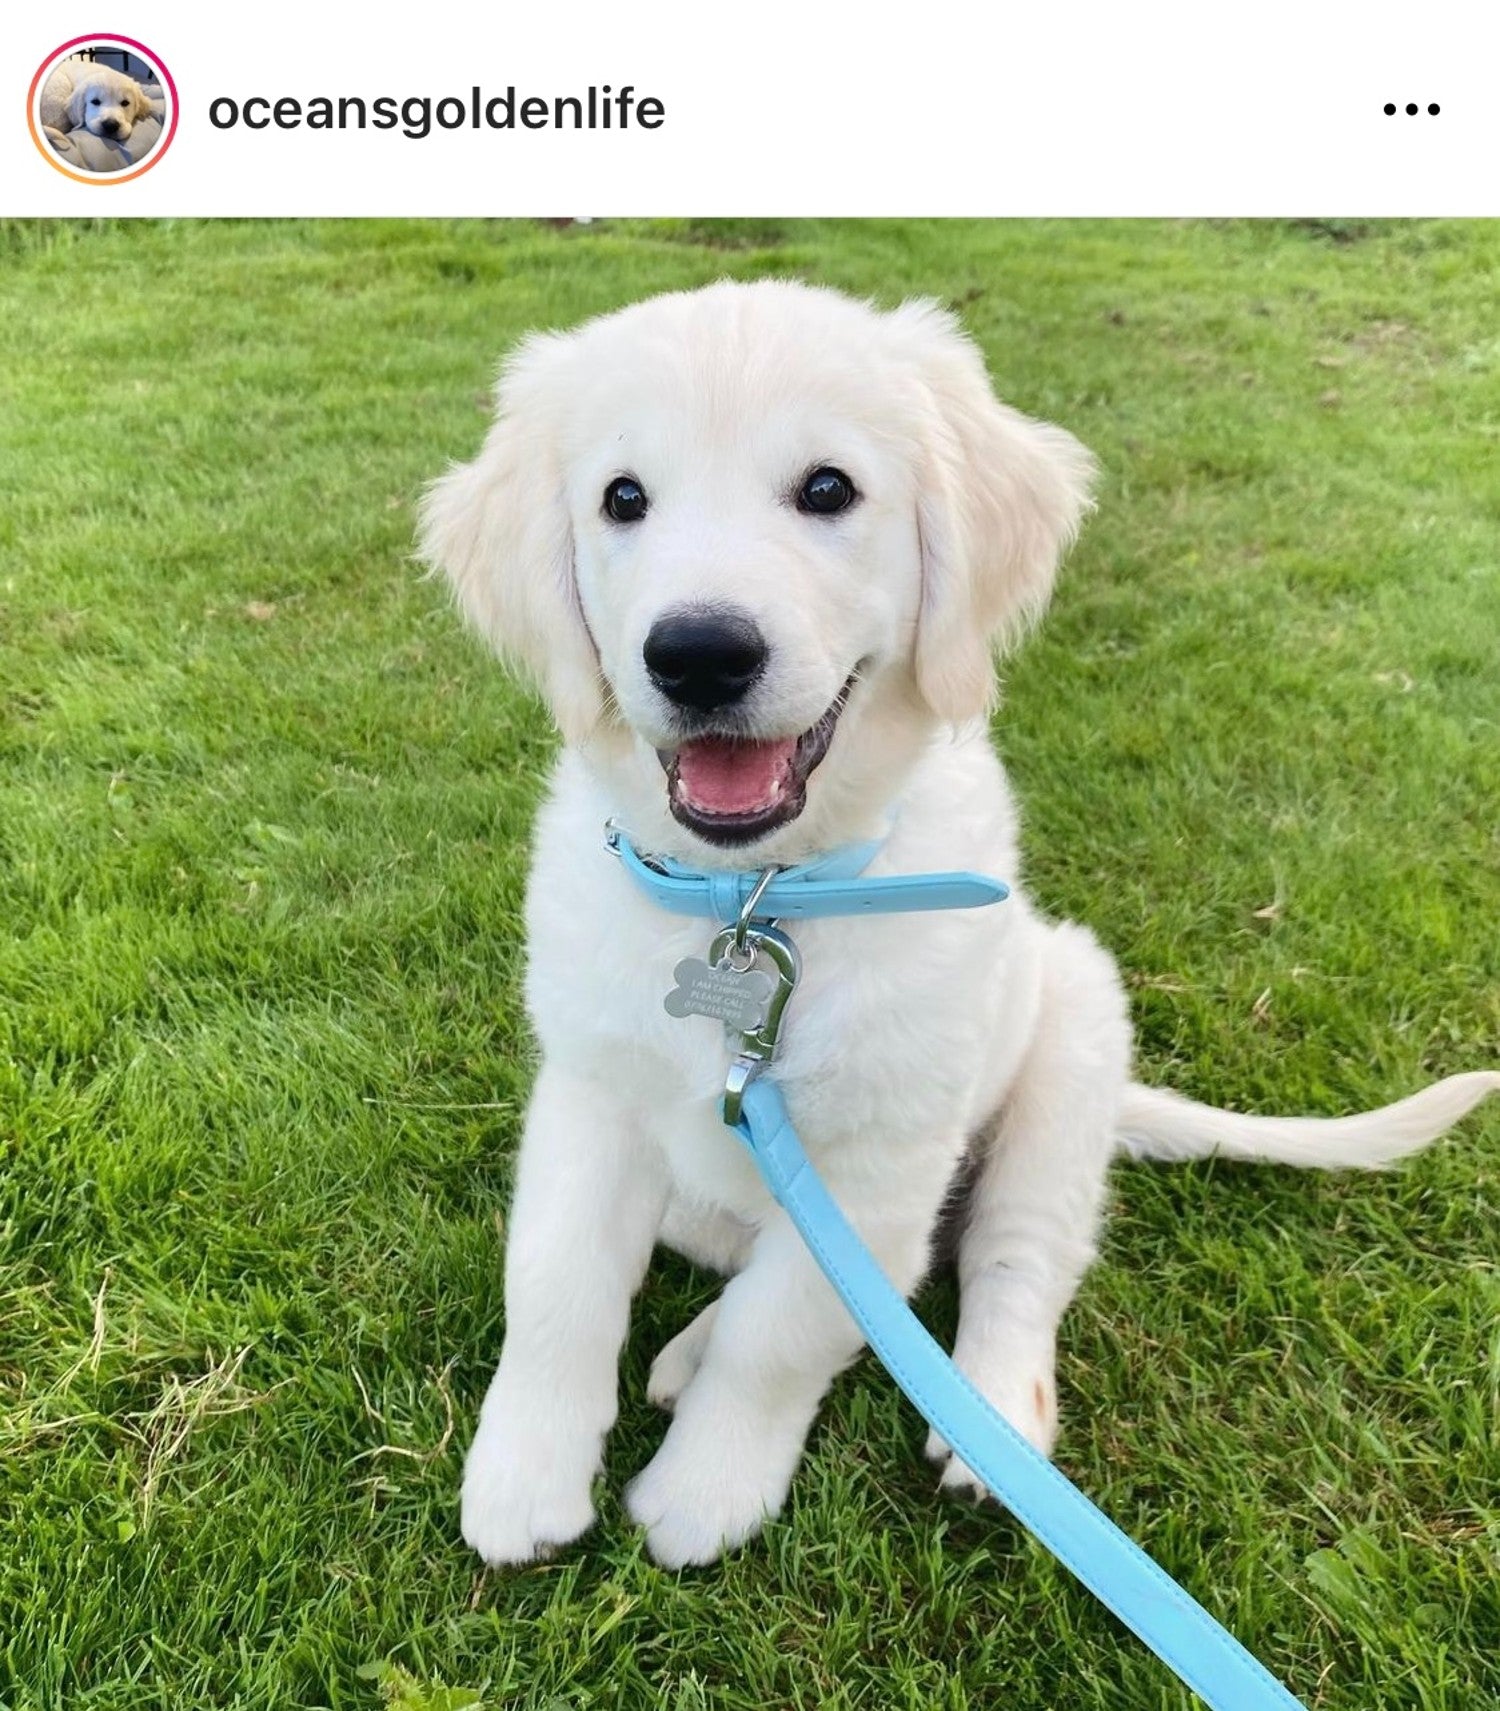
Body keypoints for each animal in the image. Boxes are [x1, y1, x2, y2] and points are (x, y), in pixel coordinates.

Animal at [419, 284, 1498, 1574]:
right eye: (623, 499)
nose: (698, 653)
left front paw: (705, 1490)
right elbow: (559, 1282)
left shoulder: (886, 1157)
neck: (763, 900)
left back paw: (992, 1416)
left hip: (1068, 1048)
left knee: (1003, 1261)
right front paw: (524, 1472)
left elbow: (788, 1329)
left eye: (828, 488)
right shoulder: (590, 1093)